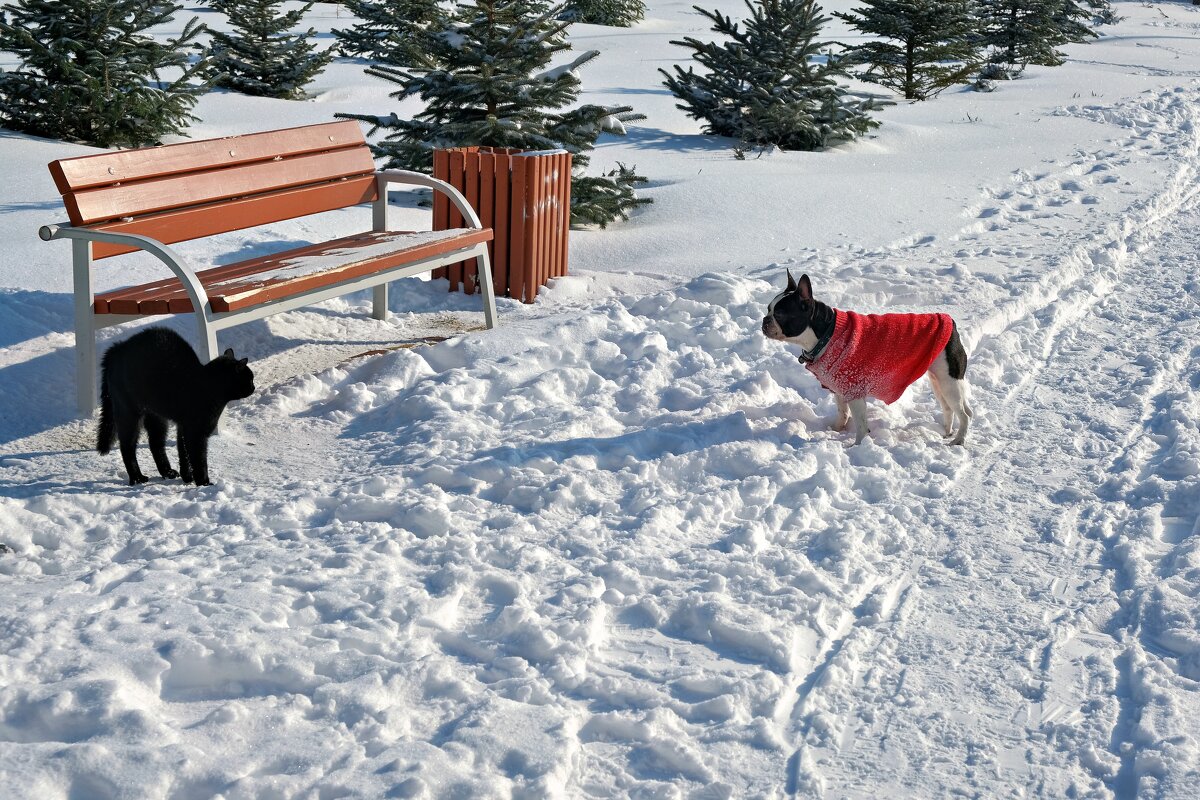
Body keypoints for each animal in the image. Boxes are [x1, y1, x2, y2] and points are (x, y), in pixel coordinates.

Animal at [97, 326, 255, 489]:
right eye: (250, 379)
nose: (253, 387)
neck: (205, 385)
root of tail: (117, 348)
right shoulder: (196, 431)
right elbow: (199, 459)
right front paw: (204, 483)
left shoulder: (183, 426)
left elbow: (183, 454)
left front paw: (187, 478)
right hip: (129, 413)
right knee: (127, 446)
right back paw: (137, 478)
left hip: (156, 417)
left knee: (156, 444)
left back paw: (167, 472)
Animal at [763, 271, 969, 443]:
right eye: (768, 309)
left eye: (780, 313)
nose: (765, 320)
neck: (825, 333)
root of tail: (950, 322)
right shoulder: (840, 388)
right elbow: (842, 412)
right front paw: (836, 429)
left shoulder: (855, 391)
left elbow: (861, 424)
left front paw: (858, 445)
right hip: (938, 380)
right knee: (951, 409)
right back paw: (948, 433)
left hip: (949, 382)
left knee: (964, 414)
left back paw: (958, 440)